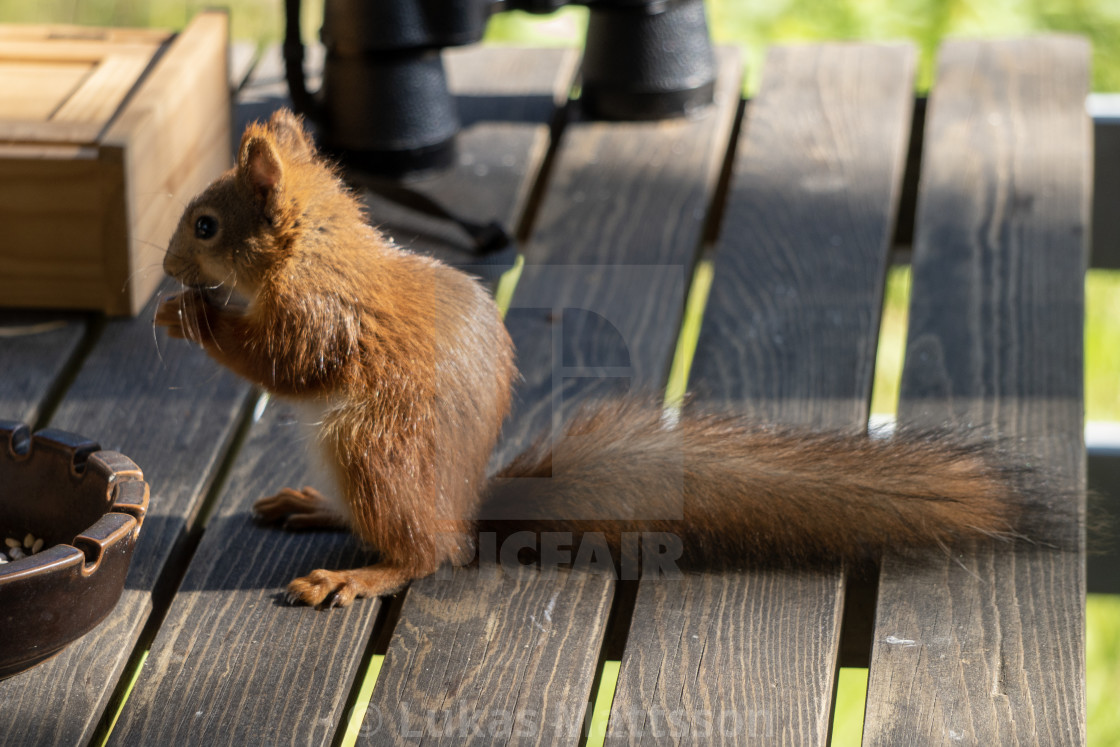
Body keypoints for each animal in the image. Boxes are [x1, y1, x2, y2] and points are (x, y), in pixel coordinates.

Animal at [157, 112, 1048, 613]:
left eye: (204, 225)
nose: (166, 264)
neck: (317, 252)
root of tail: (463, 507)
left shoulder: (324, 321)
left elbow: (283, 363)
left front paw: (192, 316)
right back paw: (313, 506)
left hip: (375, 450)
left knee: (421, 555)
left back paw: (359, 574)